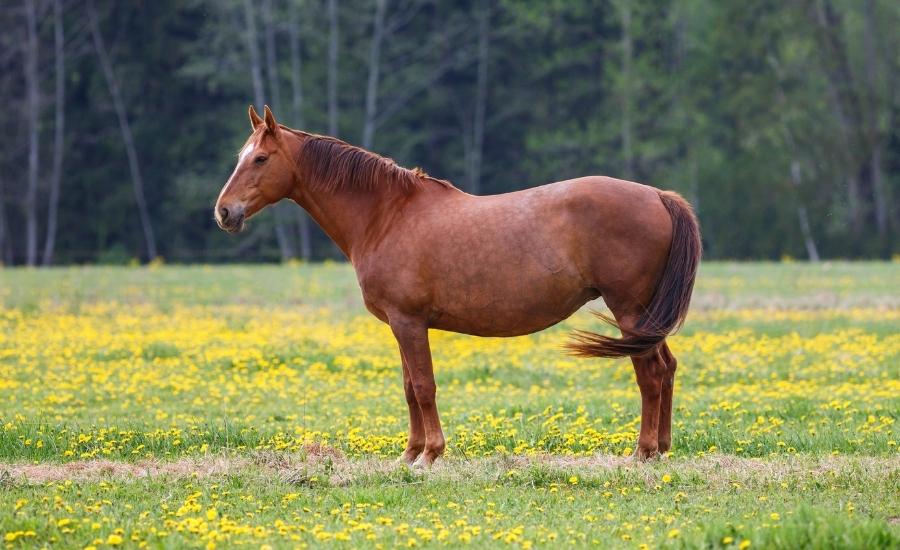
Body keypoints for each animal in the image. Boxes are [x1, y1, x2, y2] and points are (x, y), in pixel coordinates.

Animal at [215, 105, 701, 467]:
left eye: (260, 159)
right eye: (240, 156)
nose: (223, 212)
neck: (387, 215)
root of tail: (659, 196)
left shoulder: (409, 322)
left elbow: (423, 385)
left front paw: (430, 455)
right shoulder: (400, 325)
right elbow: (409, 387)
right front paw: (409, 454)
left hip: (628, 309)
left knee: (649, 374)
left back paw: (642, 452)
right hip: (643, 316)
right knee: (667, 368)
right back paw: (662, 449)